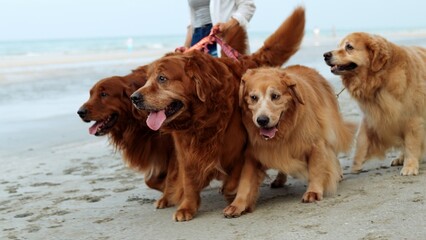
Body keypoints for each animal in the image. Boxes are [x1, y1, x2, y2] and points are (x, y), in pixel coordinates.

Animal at [131, 7, 306, 221]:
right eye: (147, 79)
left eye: (162, 78)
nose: (134, 97)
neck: (200, 120)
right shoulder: (186, 151)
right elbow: (189, 181)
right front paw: (187, 207)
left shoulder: (240, 149)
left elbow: (233, 180)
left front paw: (231, 193)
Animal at [223, 66, 356, 218]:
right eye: (253, 97)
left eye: (275, 96)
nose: (262, 120)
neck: (283, 131)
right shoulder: (253, 153)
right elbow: (245, 182)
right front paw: (237, 204)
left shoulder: (316, 143)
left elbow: (316, 169)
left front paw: (314, 191)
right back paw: (279, 179)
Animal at [322, 31, 426, 175]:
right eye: (339, 46)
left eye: (349, 47)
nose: (325, 55)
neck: (381, 79)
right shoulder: (372, 116)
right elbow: (362, 139)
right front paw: (356, 164)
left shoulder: (412, 117)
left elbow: (411, 143)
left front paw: (410, 166)